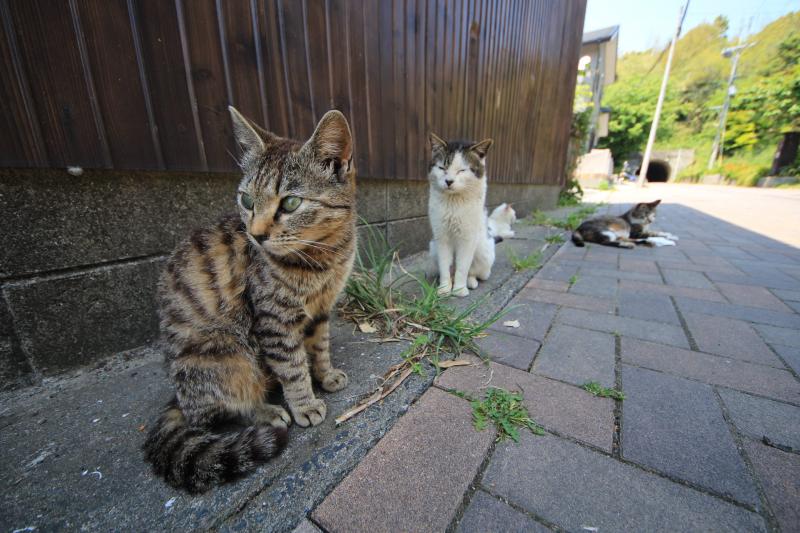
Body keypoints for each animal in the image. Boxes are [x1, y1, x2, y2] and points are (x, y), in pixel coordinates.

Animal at [428, 131, 496, 298]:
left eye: (462, 170)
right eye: (442, 167)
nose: (449, 181)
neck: (454, 203)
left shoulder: (467, 239)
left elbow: (462, 268)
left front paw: (459, 290)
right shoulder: (441, 237)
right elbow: (445, 267)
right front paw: (444, 288)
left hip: (484, 252)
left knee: (473, 272)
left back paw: (470, 282)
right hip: (433, 248)